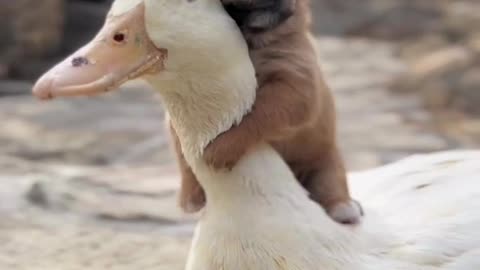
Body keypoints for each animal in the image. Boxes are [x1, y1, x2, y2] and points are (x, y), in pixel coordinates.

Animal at [169, 0, 364, 224]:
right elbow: (183, 154)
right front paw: (191, 195)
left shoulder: (292, 87)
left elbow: (254, 116)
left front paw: (220, 150)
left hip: (326, 164)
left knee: (331, 188)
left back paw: (343, 208)